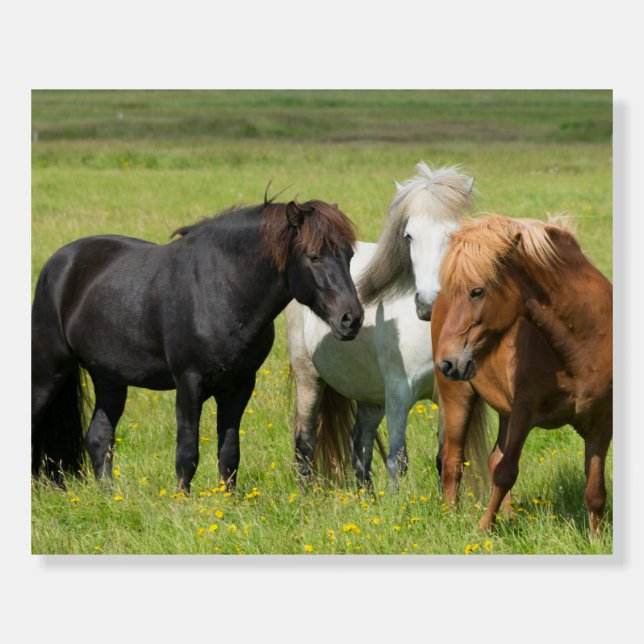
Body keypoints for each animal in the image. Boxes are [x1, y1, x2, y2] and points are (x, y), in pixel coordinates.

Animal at [32, 196, 364, 491]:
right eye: (314, 256)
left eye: (349, 255)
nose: (352, 318)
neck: (221, 290)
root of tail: (59, 264)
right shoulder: (189, 382)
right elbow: (187, 452)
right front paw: (182, 503)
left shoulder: (240, 385)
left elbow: (229, 452)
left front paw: (229, 502)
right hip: (49, 372)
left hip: (109, 379)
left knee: (99, 437)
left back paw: (109, 496)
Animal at [286, 163, 489, 488]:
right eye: (409, 236)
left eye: (454, 234)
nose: (428, 304)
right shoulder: (398, 393)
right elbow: (397, 460)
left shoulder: (447, 395)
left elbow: (445, 459)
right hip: (310, 380)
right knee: (305, 444)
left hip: (371, 395)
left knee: (360, 442)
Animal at [432, 214, 612, 535]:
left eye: (477, 291)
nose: (447, 362)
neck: (582, 345)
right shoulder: (523, 412)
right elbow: (506, 472)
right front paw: (483, 530)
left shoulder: (601, 424)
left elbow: (595, 491)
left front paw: (597, 538)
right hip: (458, 397)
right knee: (453, 461)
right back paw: (451, 518)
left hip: (503, 409)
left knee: (491, 459)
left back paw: (511, 518)